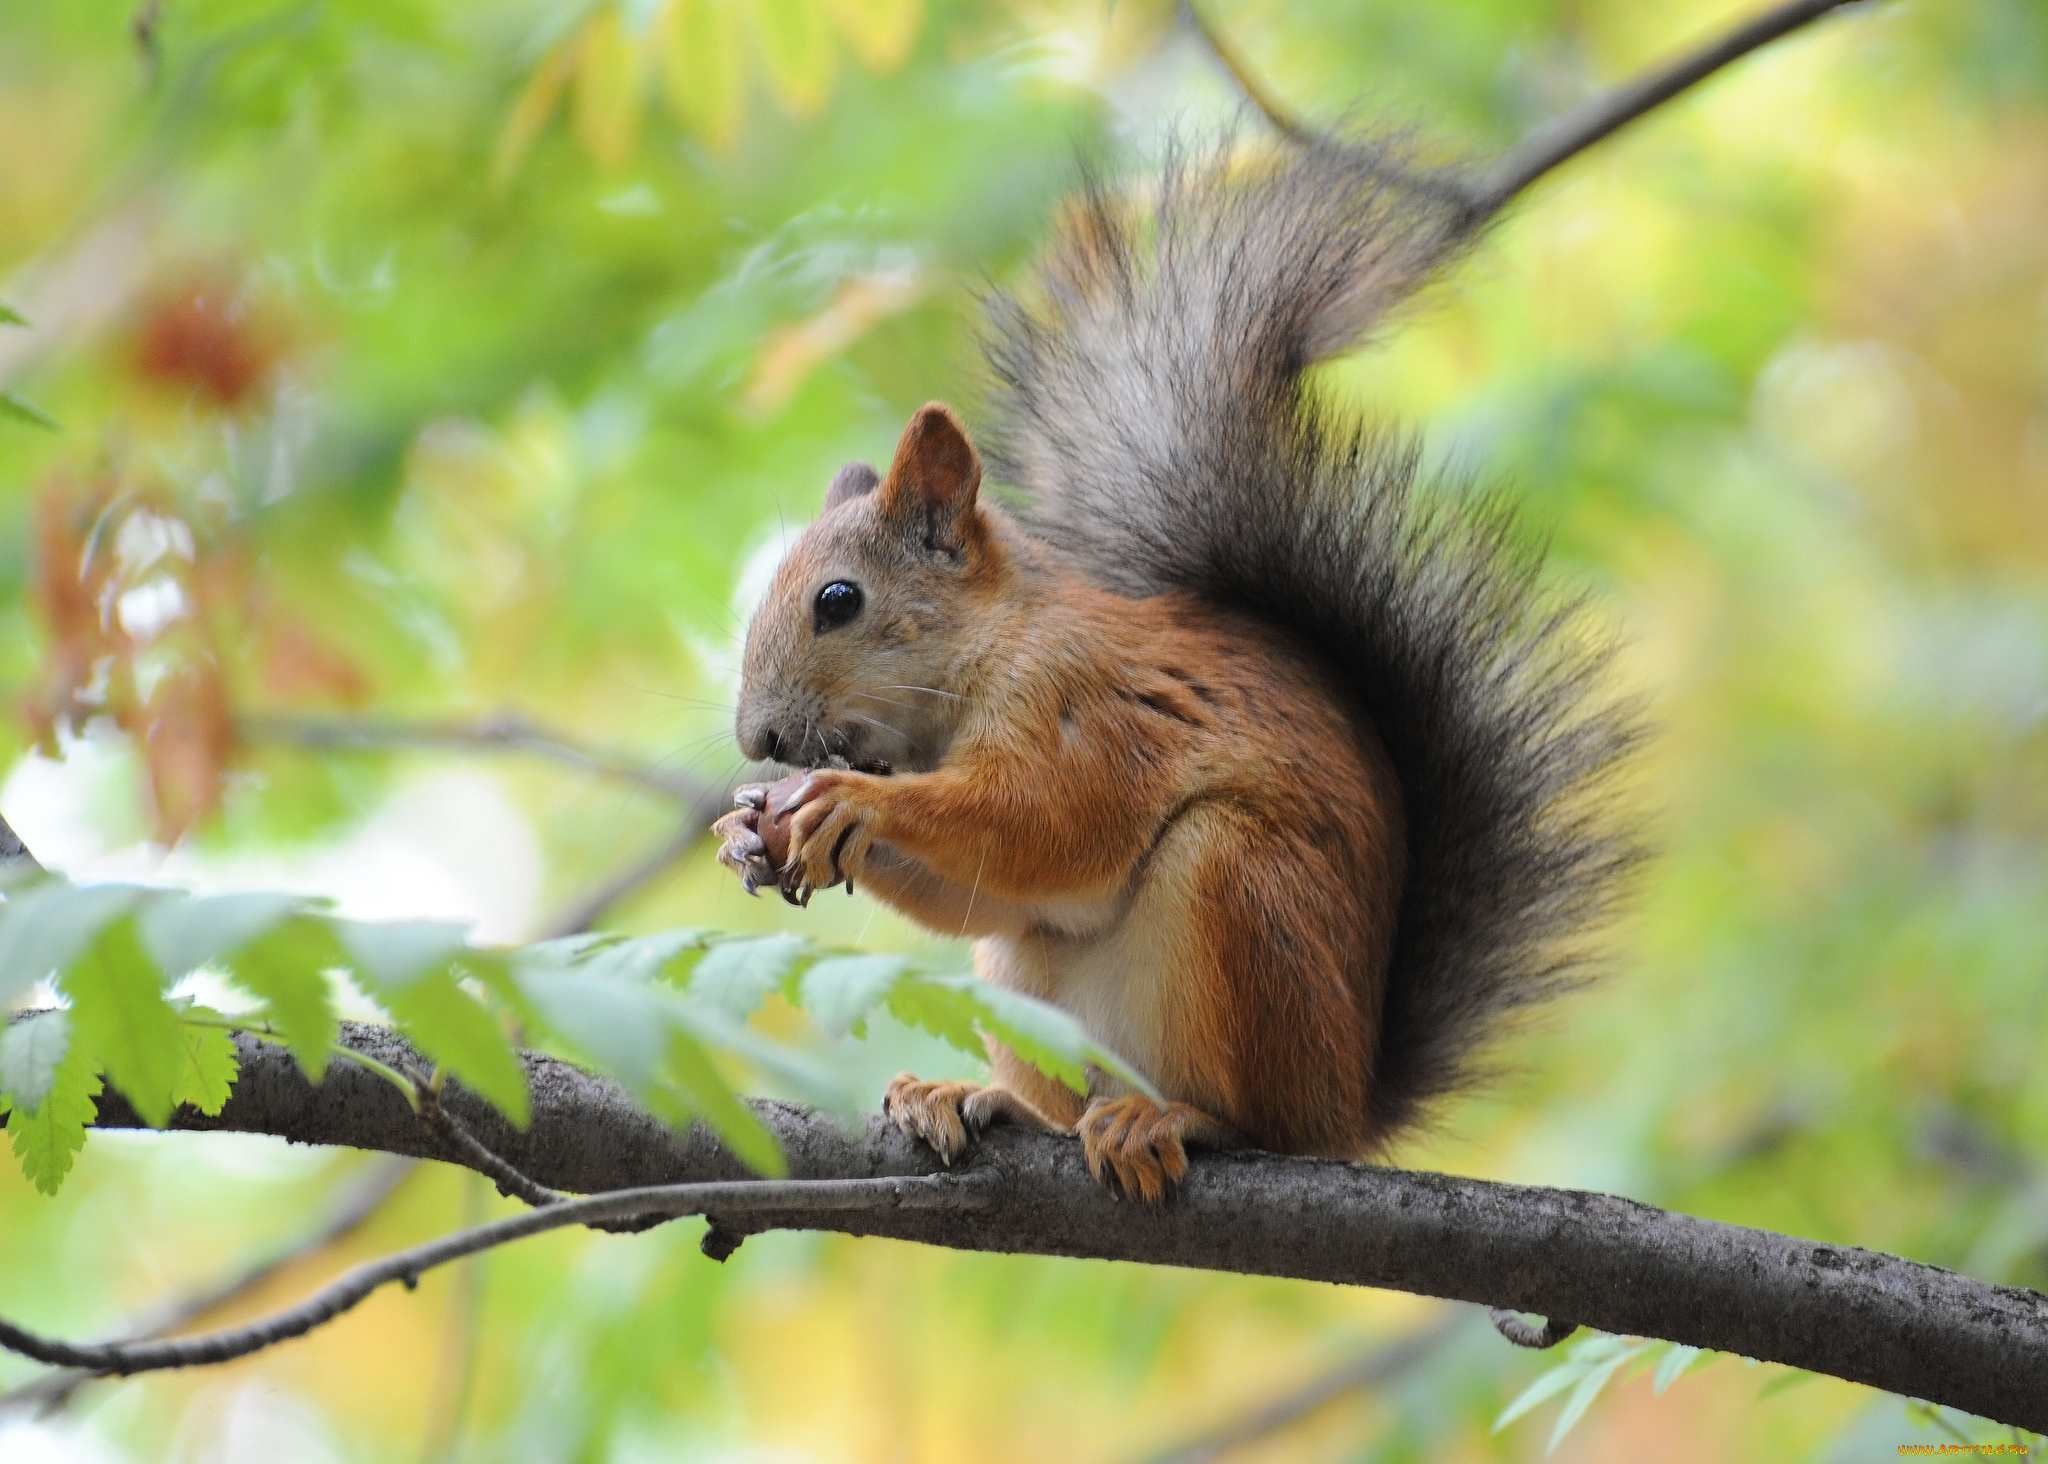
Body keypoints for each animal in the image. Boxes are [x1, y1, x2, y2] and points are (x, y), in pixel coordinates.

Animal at [712, 137, 1638, 1203]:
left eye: (837, 601)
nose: (758, 738)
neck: (988, 653)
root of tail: (1352, 1108)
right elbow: (990, 890)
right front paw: (747, 831)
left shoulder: (1088, 704)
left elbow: (1053, 822)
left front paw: (858, 803)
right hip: (1024, 983)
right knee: (1048, 1056)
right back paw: (976, 1098)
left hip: (1242, 893)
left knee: (1261, 1120)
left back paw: (1175, 1119)